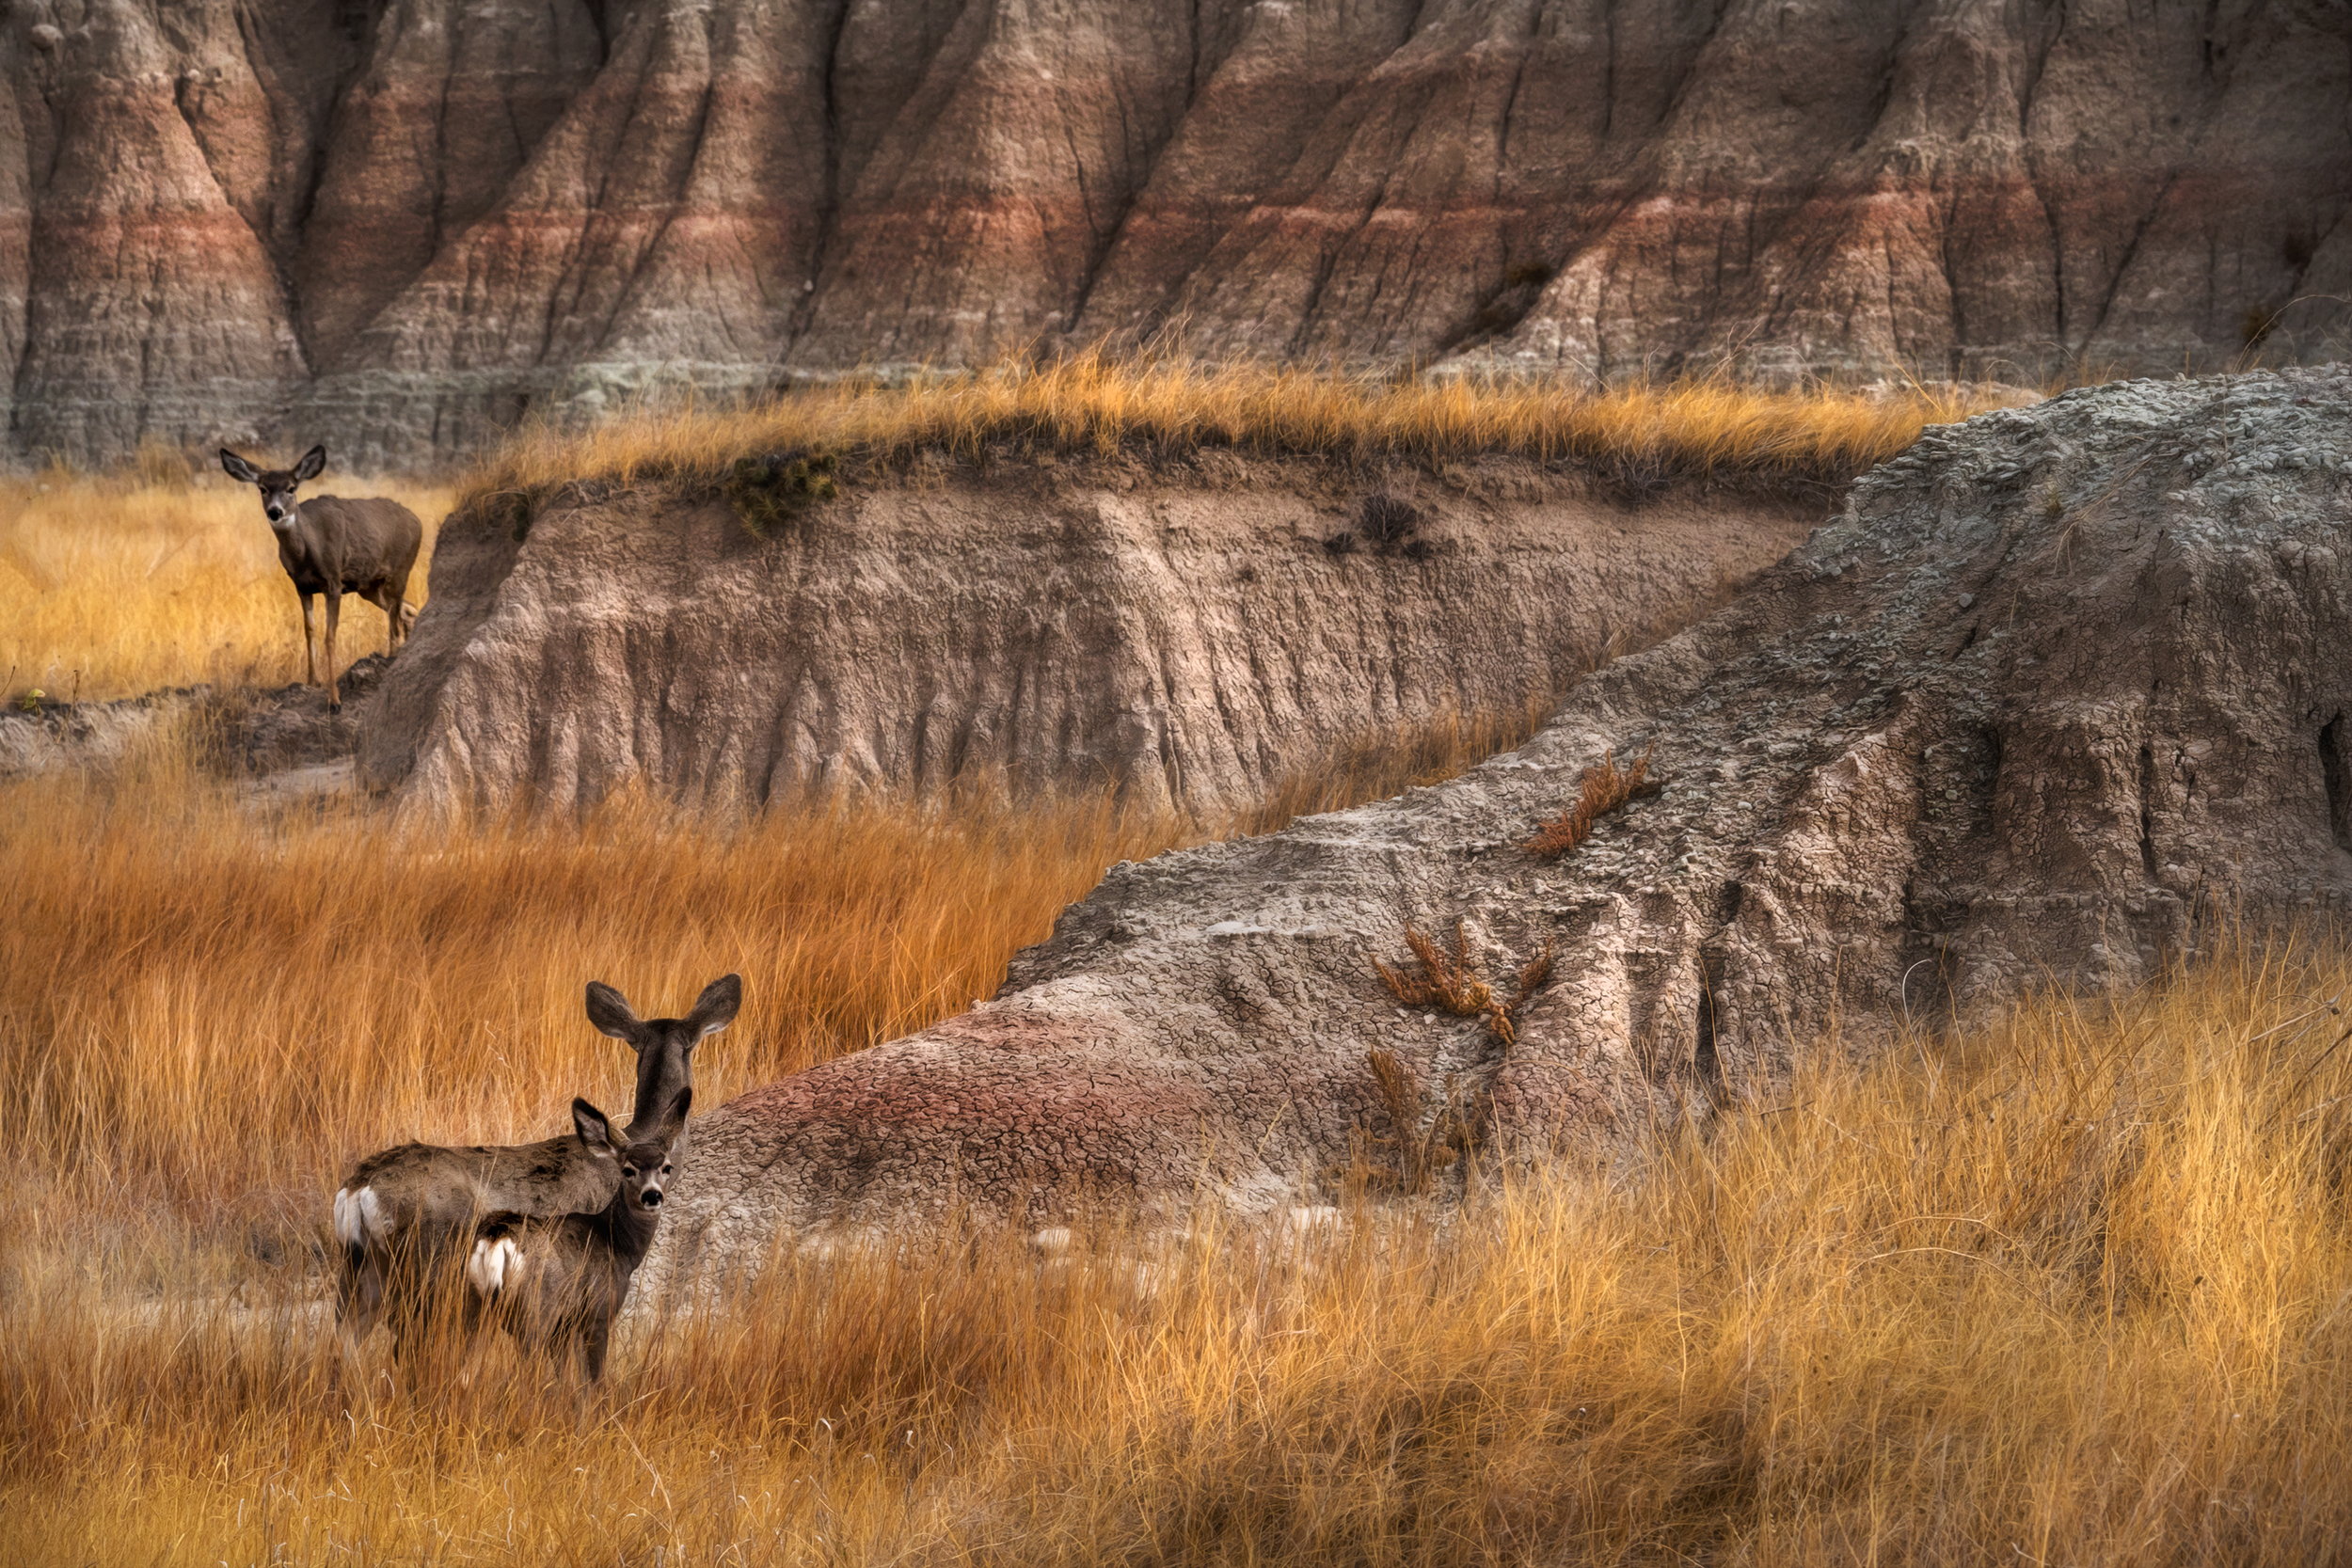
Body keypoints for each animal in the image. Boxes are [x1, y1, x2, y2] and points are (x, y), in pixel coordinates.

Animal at [218, 441, 425, 709]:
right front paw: (311, 682)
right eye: (263, 489)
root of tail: (417, 520)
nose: (275, 512)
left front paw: (334, 700)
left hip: (400, 570)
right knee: (405, 609)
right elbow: (310, 631)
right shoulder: (302, 586)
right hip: (369, 586)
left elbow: (330, 636)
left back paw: (394, 658)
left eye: (291, 488)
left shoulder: (334, 582)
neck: (308, 551)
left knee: (395, 620)